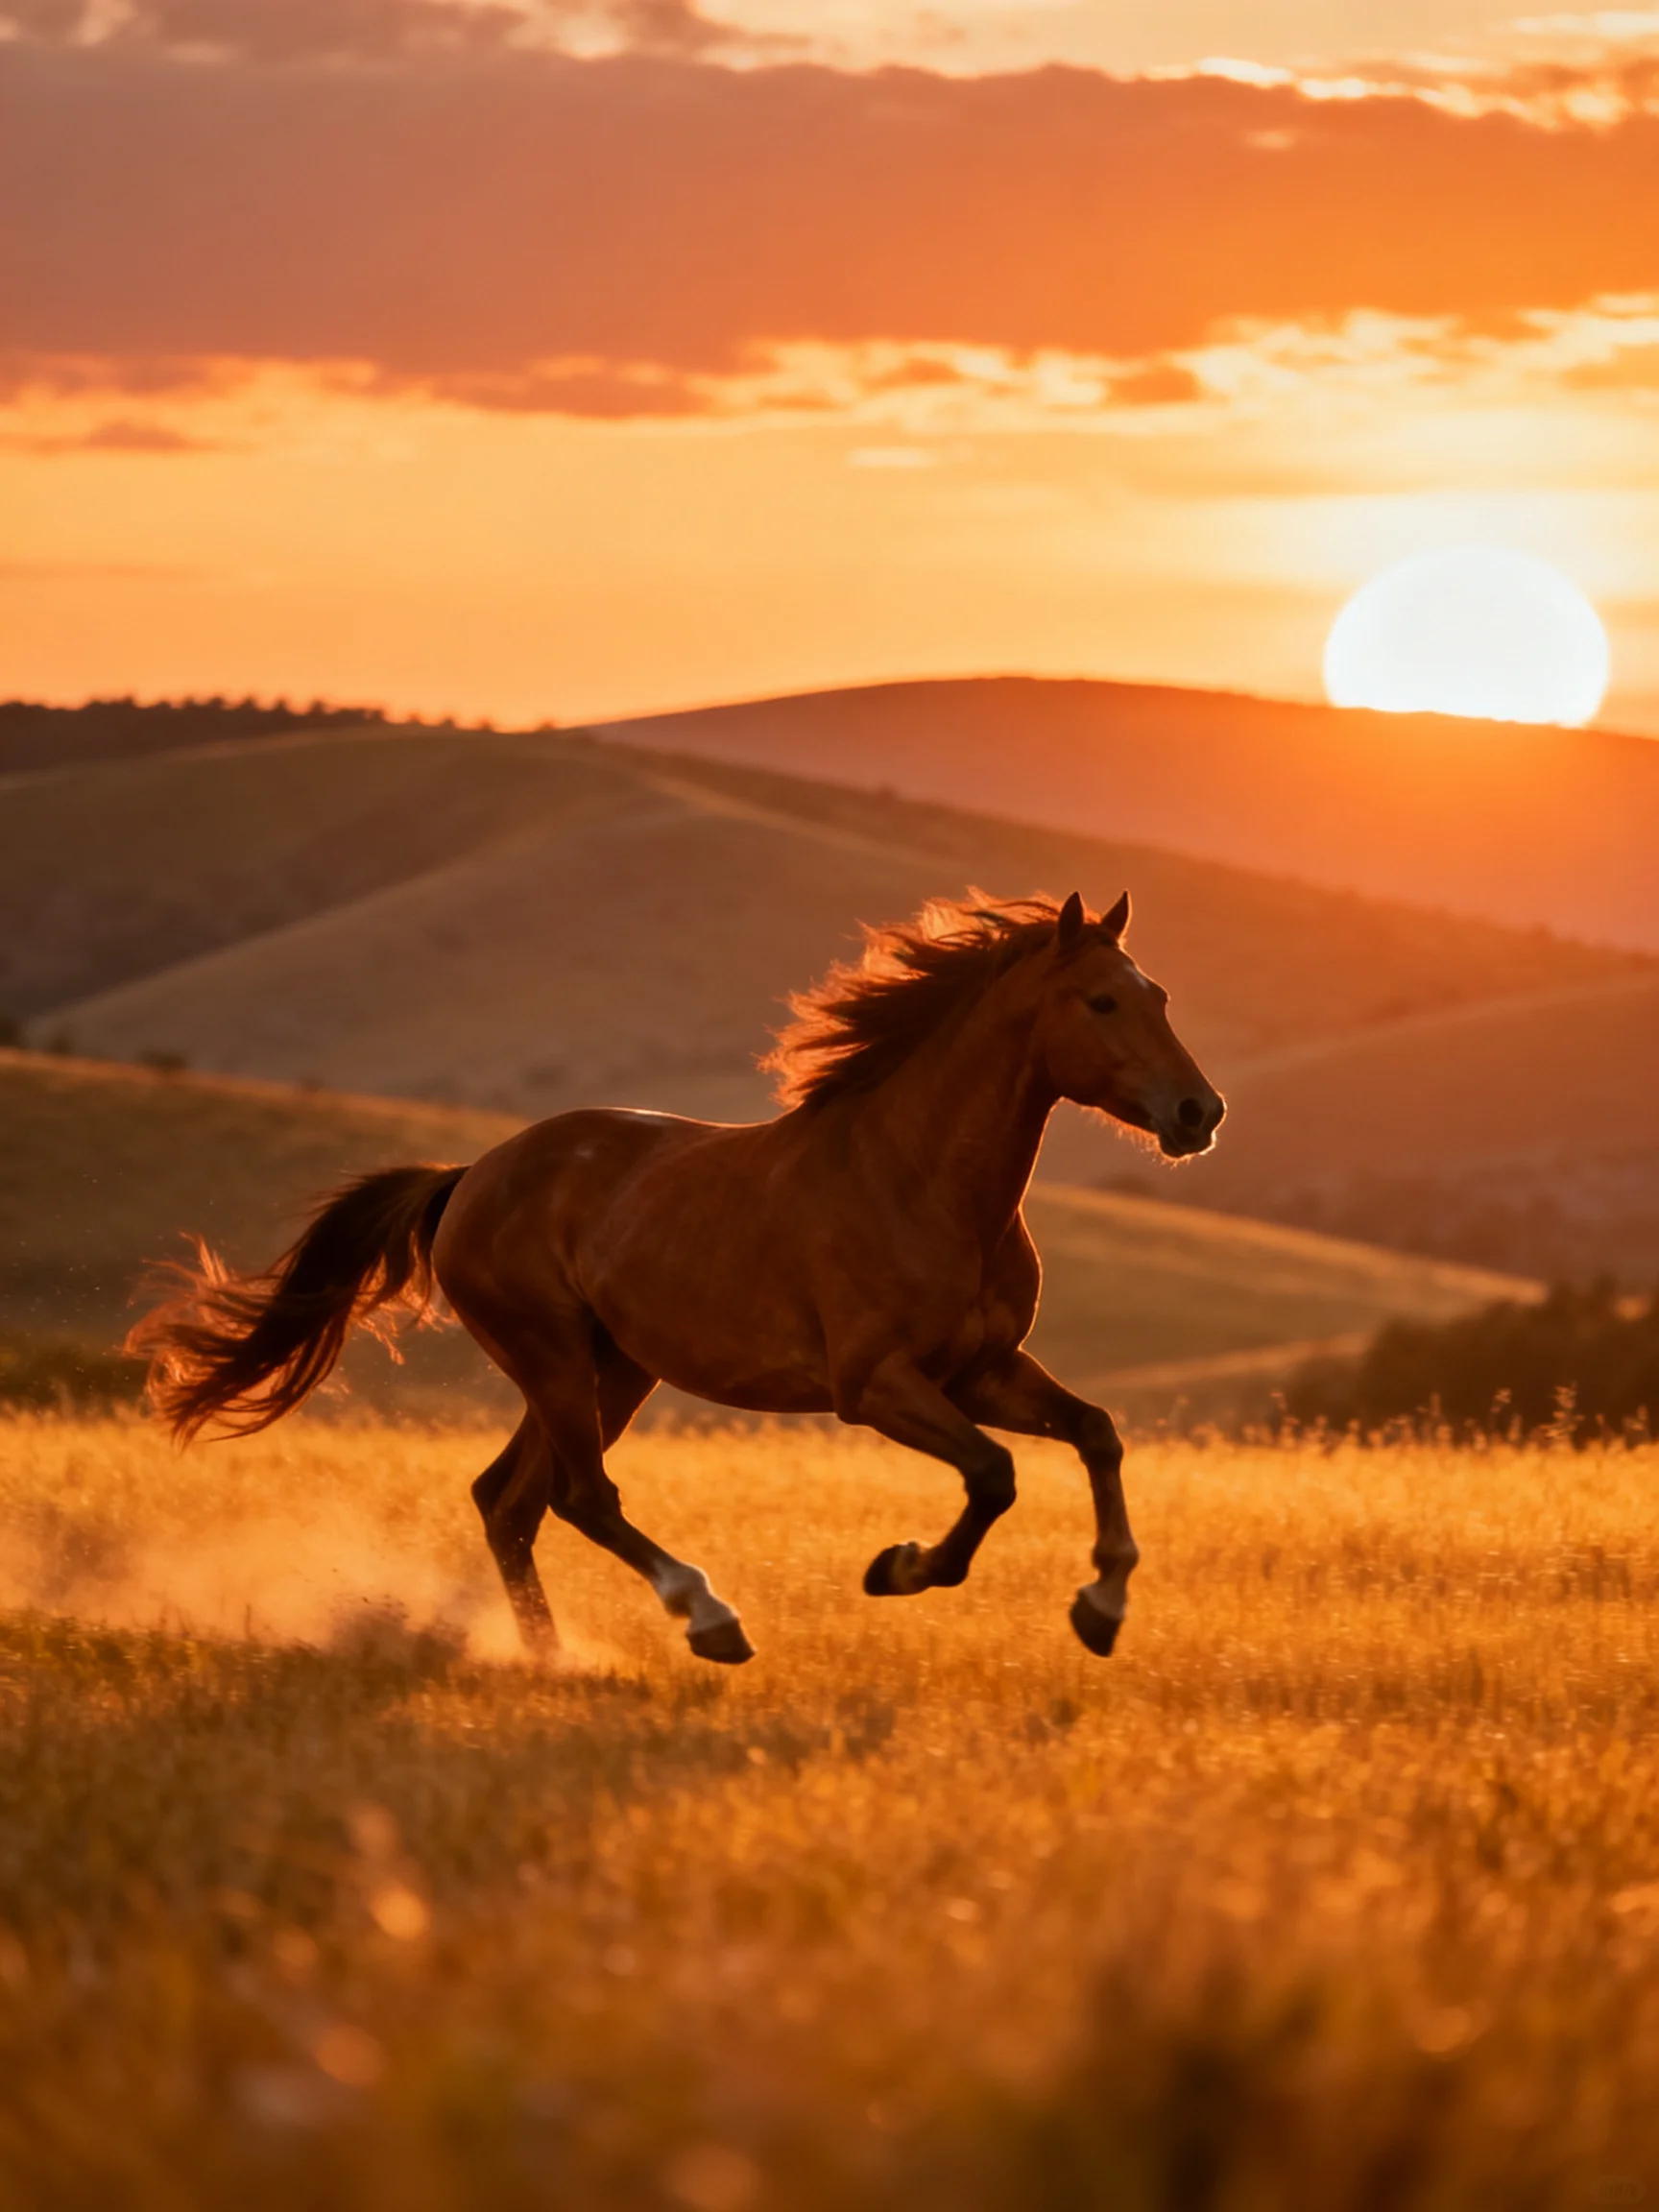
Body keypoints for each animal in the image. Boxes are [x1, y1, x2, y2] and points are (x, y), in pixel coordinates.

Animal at [130, 890, 1224, 1665]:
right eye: (1101, 1000)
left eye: (1163, 996)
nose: (1198, 1112)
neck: (922, 1182)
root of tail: (470, 1178)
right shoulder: (875, 1386)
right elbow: (993, 1476)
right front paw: (900, 1570)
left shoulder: (984, 1372)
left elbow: (1096, 1433)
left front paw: (1102, 1606)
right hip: (555, 1359)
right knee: (579, 1498)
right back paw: (708, 1620)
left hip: (611, 1369)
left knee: (509, 1501)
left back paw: (549, 1659)